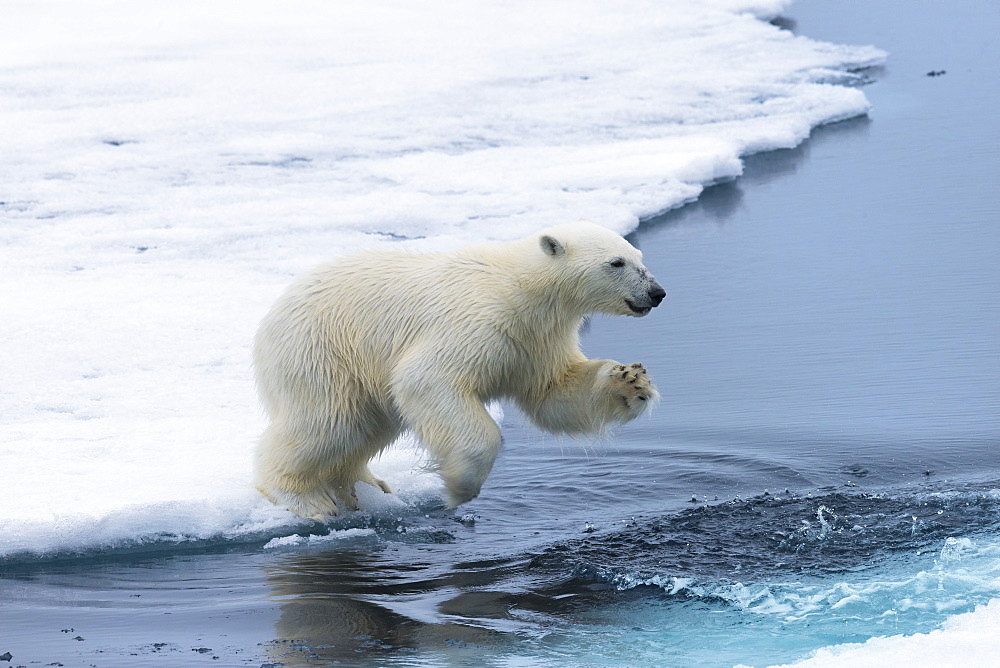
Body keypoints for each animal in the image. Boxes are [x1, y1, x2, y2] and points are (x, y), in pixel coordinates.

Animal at [254, 222, 668, 520]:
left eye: (639, 256)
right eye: (616, 262)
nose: (657, 293)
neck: (522, 288)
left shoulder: (537, 340)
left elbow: (555, 393)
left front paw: (631, 381)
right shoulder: (477, 321)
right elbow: (427, 380)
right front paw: (458, 487)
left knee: (366, 428)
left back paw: (368, 489)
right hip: (322, 353)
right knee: (327, 422)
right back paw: (306, 499)